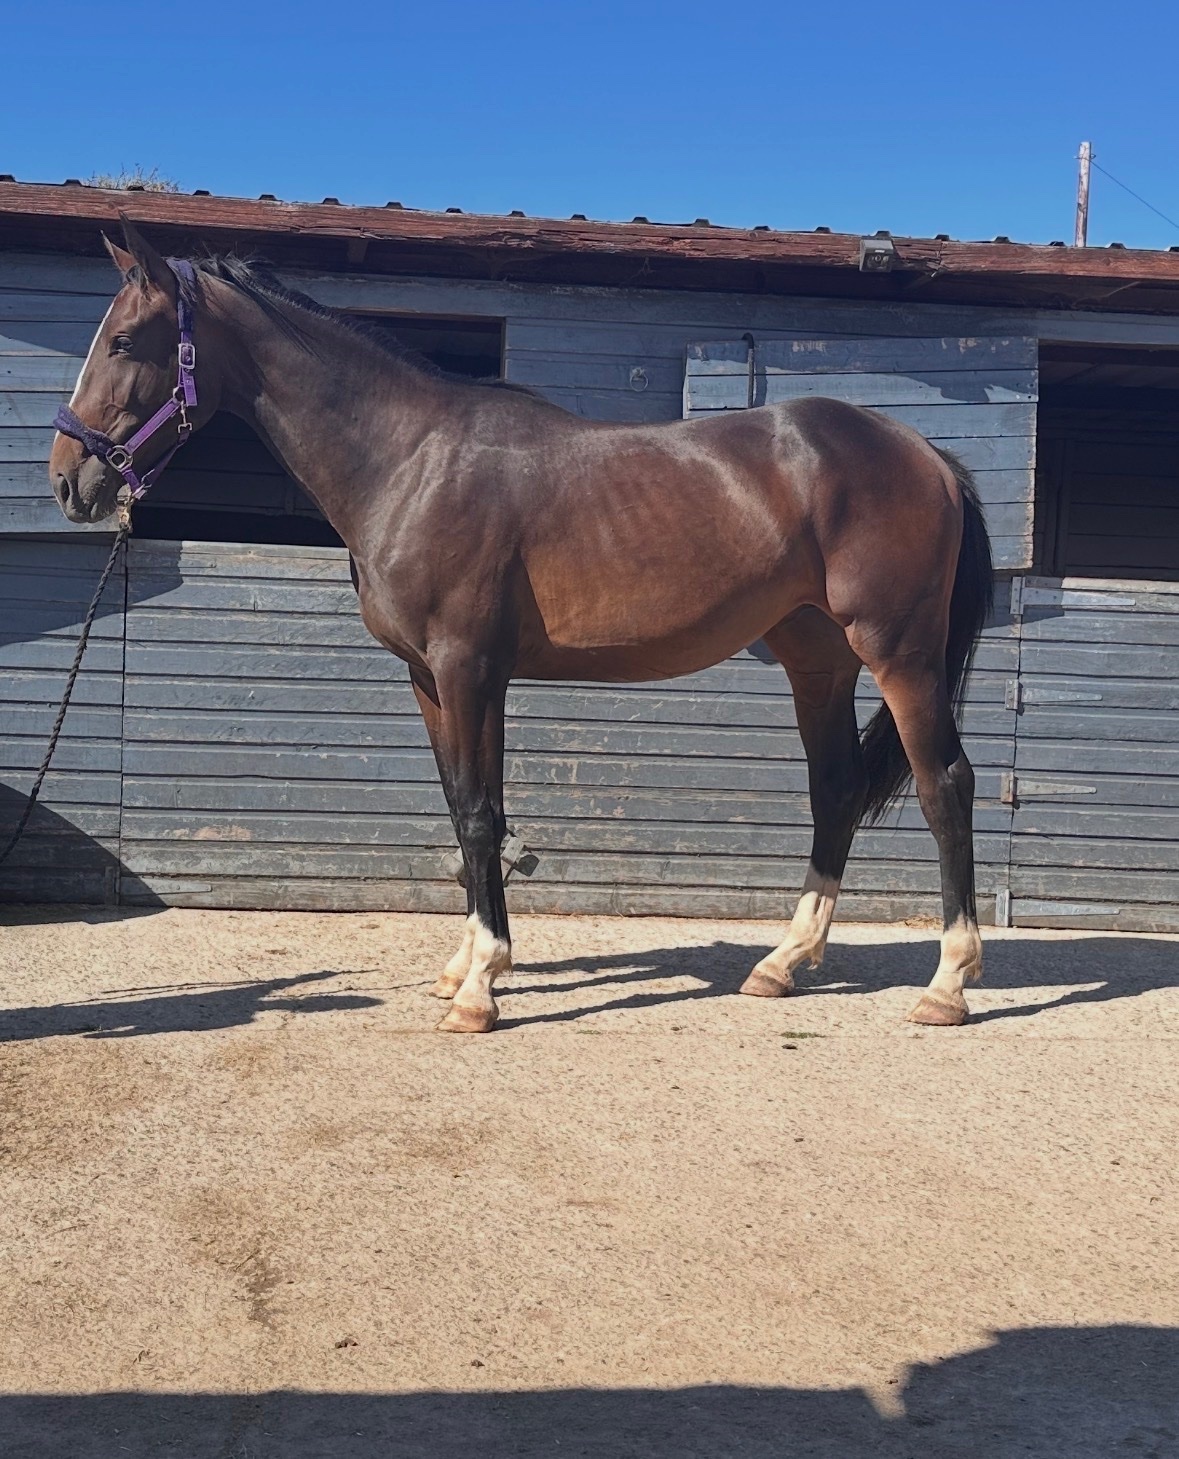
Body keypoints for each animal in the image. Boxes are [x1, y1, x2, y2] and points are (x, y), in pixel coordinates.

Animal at [50, 219, 993, 1034]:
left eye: (124, 341)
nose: (68, 482)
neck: (410, 459)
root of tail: (923, 452)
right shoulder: (434, 679)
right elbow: (466, 807)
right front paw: (467, 963)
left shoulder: (467, 667)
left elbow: (477, 814)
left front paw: (481, 989)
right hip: (817, 660)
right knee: (833, 788)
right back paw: (781, 963)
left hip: (899, 654)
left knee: (945, 783)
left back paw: (947, 983)